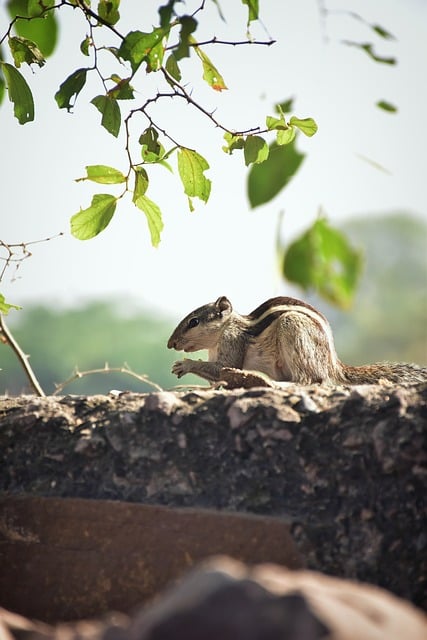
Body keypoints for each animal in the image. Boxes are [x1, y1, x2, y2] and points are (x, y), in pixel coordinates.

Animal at [167, 296, 427, 384]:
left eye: (193, 322)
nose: (171, 345)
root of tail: (334, 365)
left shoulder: (233, 341)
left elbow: (224, 367)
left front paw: (185, 364)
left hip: (293, 329)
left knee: (311, 379)